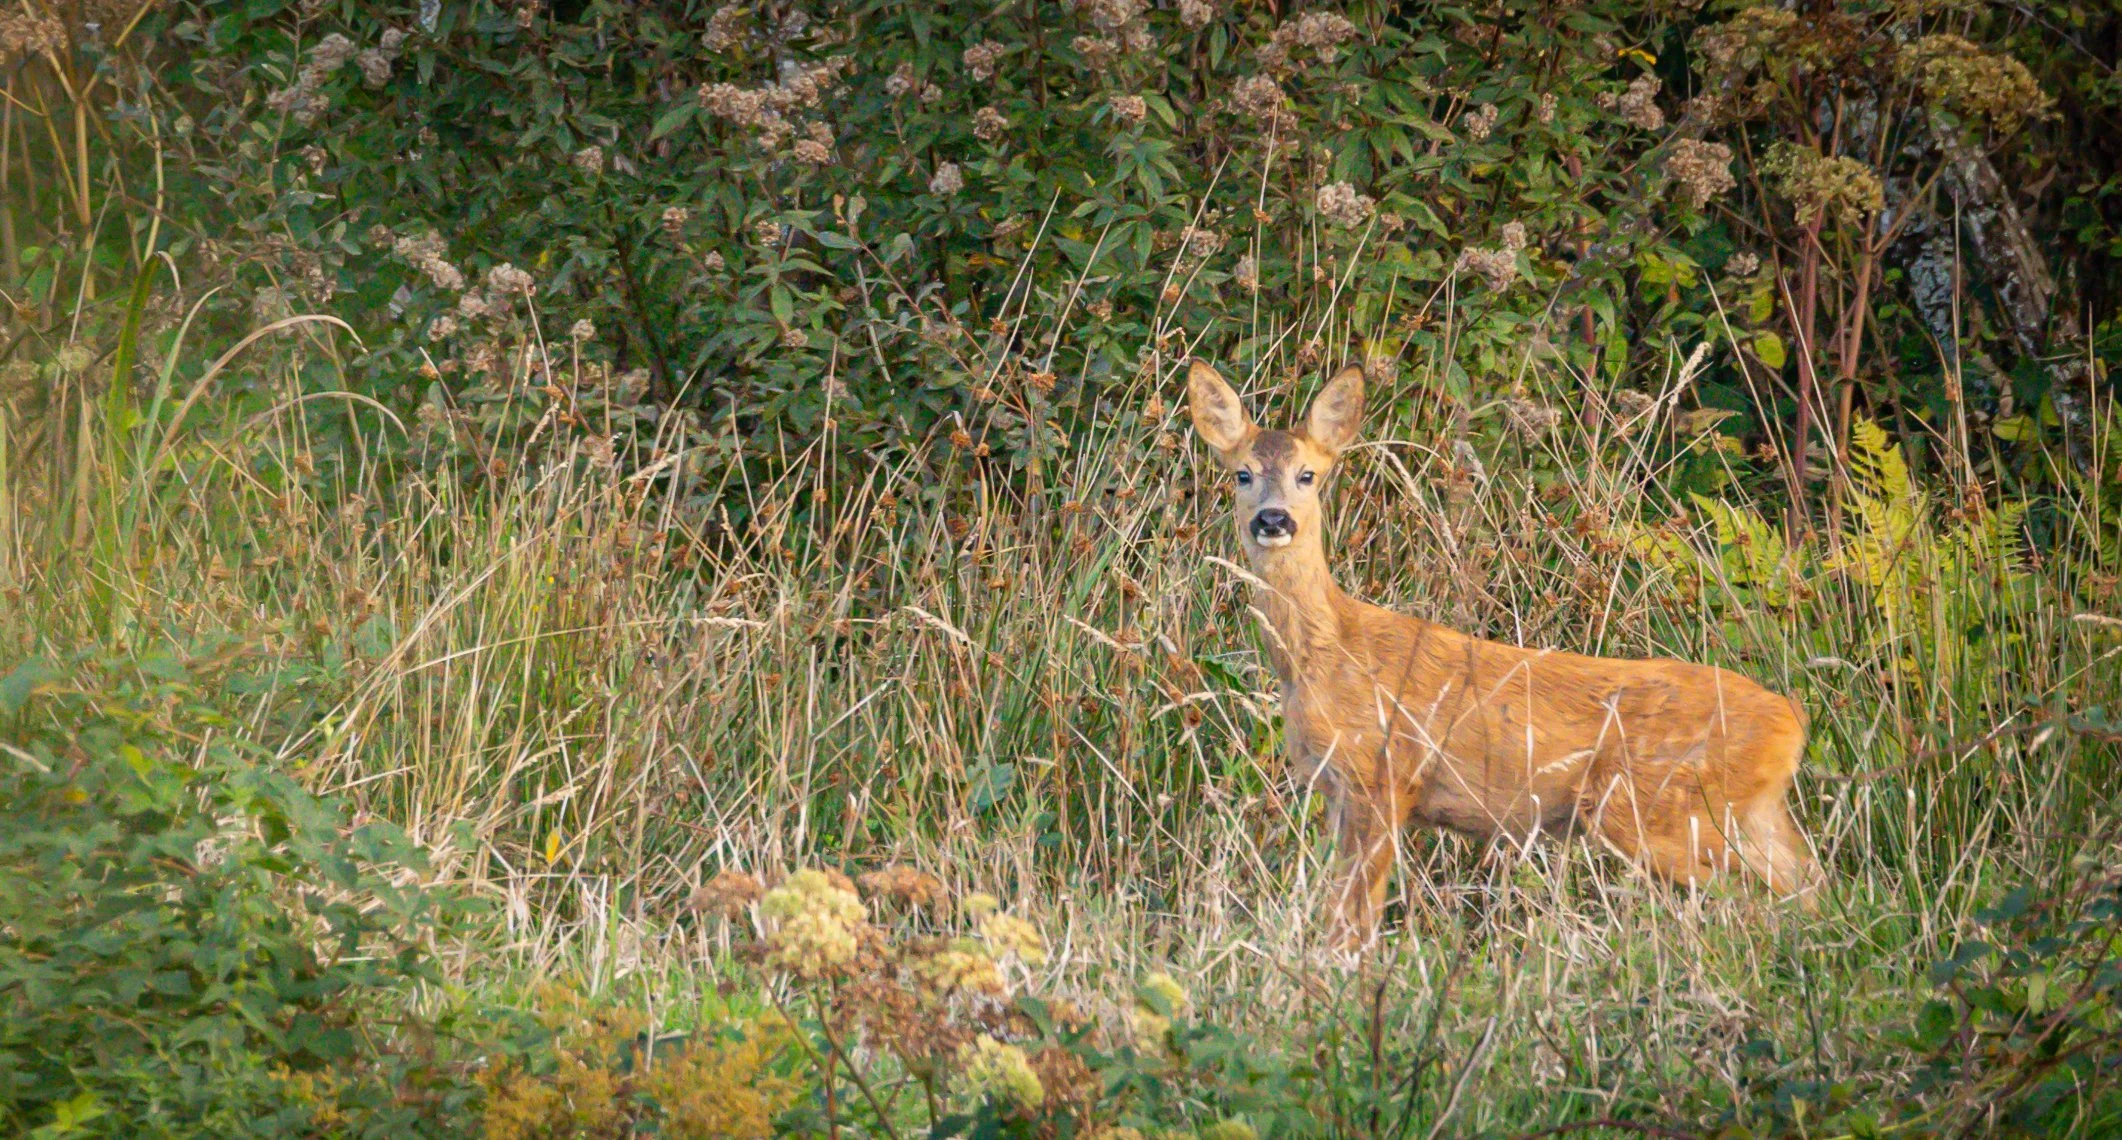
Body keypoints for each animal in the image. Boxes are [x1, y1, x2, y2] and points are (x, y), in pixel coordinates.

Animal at [1186, 359, 1820, 949]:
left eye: (1308, 475)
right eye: (1242, 474)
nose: (1274, 519)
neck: (1326, 653)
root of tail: (1791, 722)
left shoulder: (1385, 774)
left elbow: (1355, 913)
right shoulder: (1338, 791)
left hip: (1655, 808)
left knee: (1759, 896)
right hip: (1744, 813)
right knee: (1807, 884)